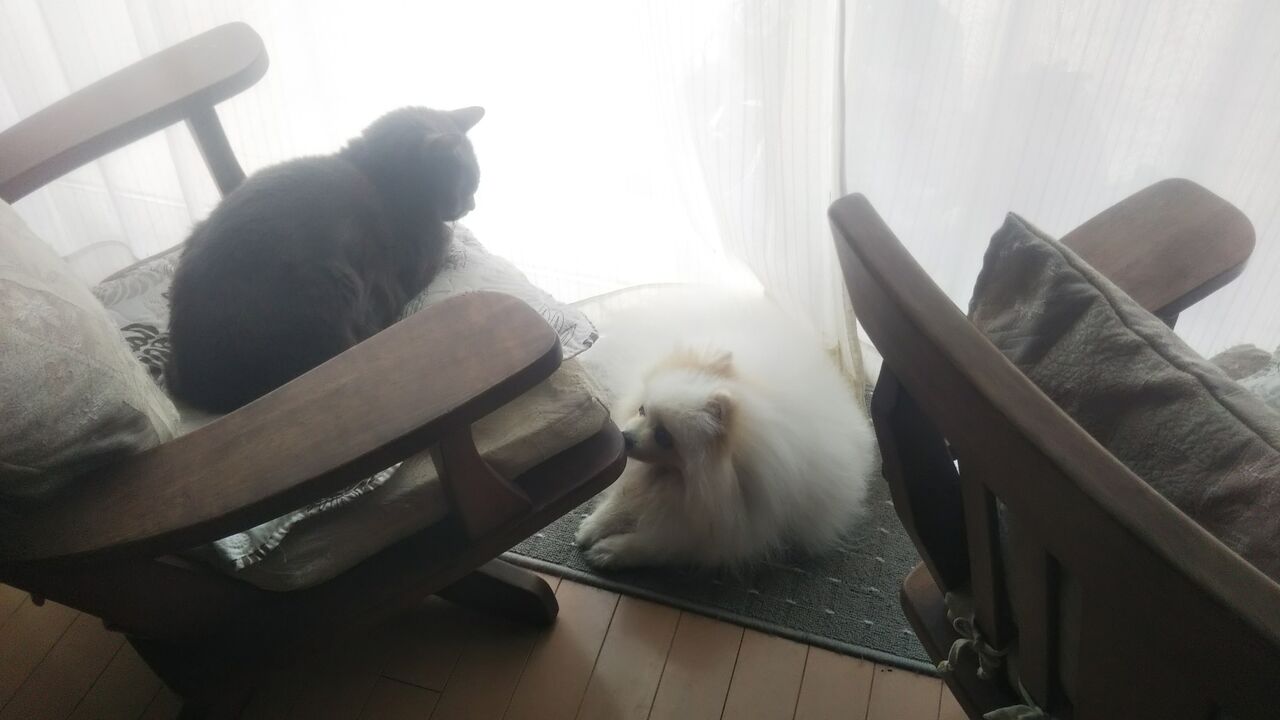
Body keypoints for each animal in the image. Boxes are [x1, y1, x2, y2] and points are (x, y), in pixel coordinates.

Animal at [166, 106, 483, 413]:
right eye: (468, 185)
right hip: (331, 287)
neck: (375, 173)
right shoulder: (422, 257)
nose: (472, 205)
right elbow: (445, 240)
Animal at [575, 293, 874, 570]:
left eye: (664, 436)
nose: (625, 439)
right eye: (642, 410)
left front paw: (611, 550)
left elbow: (656, 543)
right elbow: (620, 497)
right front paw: (593, 526)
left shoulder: (719, 526)